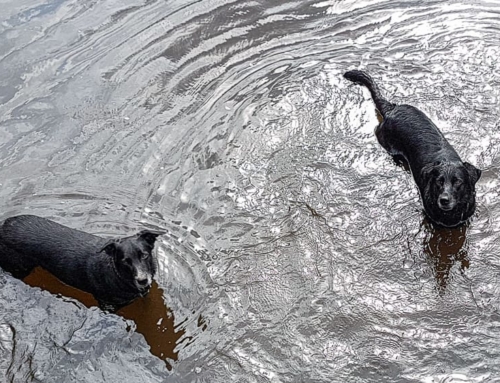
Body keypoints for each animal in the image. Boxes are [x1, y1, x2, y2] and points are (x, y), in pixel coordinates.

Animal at [0, 214, 164, 310]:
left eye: (144, 255)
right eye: (125, 261)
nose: (142, 280)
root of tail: (3, 225)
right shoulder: (108, 305)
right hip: (19, 268)